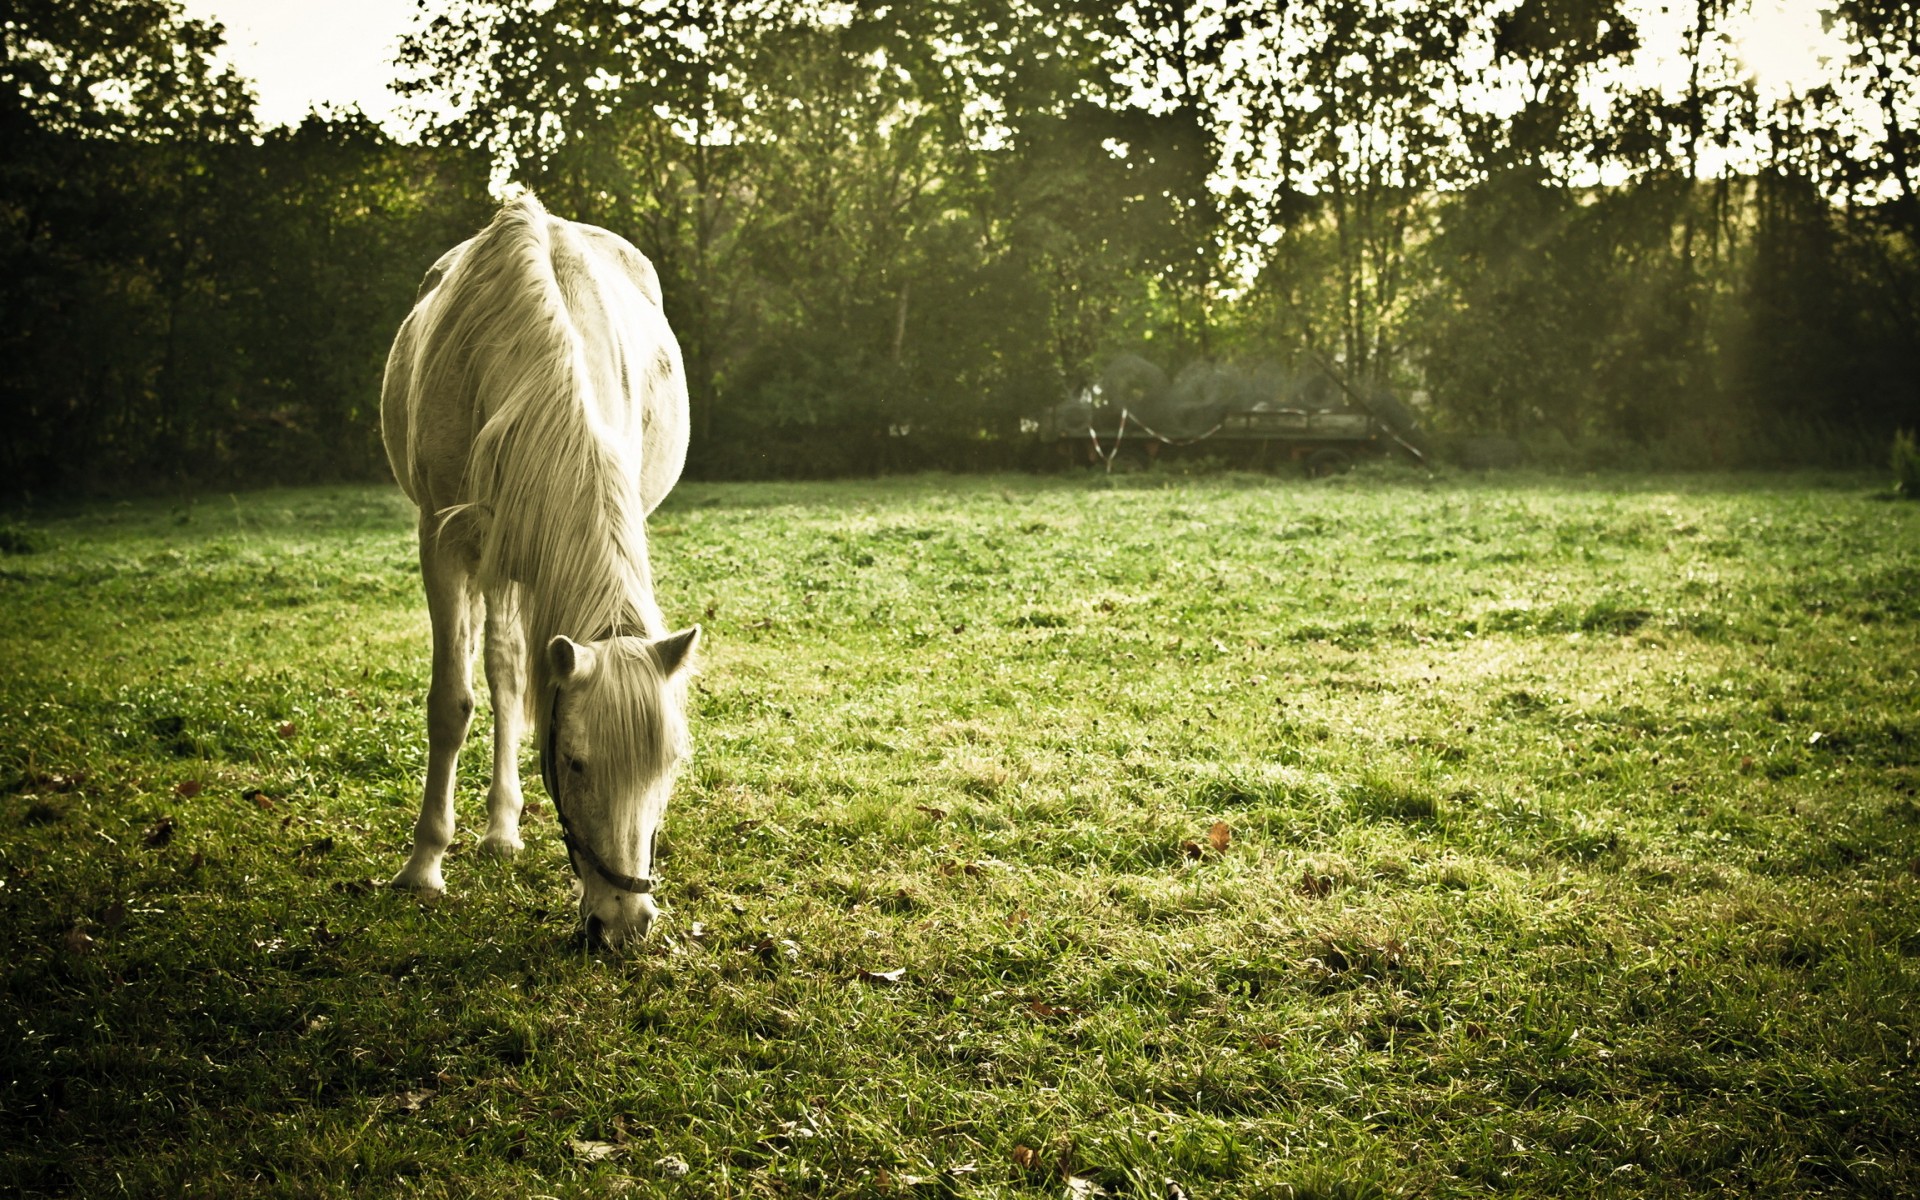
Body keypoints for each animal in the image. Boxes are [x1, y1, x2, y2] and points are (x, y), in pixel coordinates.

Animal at [378, 193, 702, 944]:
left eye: (670, 763)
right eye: (576, 763)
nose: (626, 923)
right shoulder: (444, 546)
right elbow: (452, 703)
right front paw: (423, 865)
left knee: (511, 673)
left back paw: (502, 827)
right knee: (500, 672)